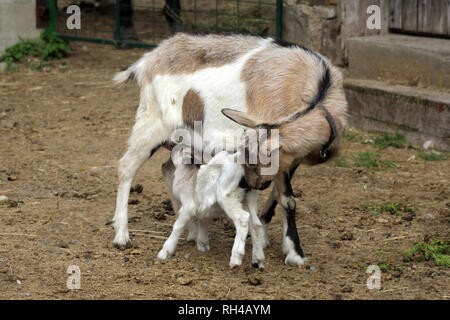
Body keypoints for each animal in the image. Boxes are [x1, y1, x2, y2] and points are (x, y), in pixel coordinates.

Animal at [111, 33, 348, 268]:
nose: (251, 184)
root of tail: (148, 60)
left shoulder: (291, 159)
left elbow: (278, 197)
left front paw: (265, 236)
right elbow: (287, 200)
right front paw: (295, 253)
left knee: (167, 170)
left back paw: (190, 230)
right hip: (152, 125)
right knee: (126, 167)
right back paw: (122, 236)